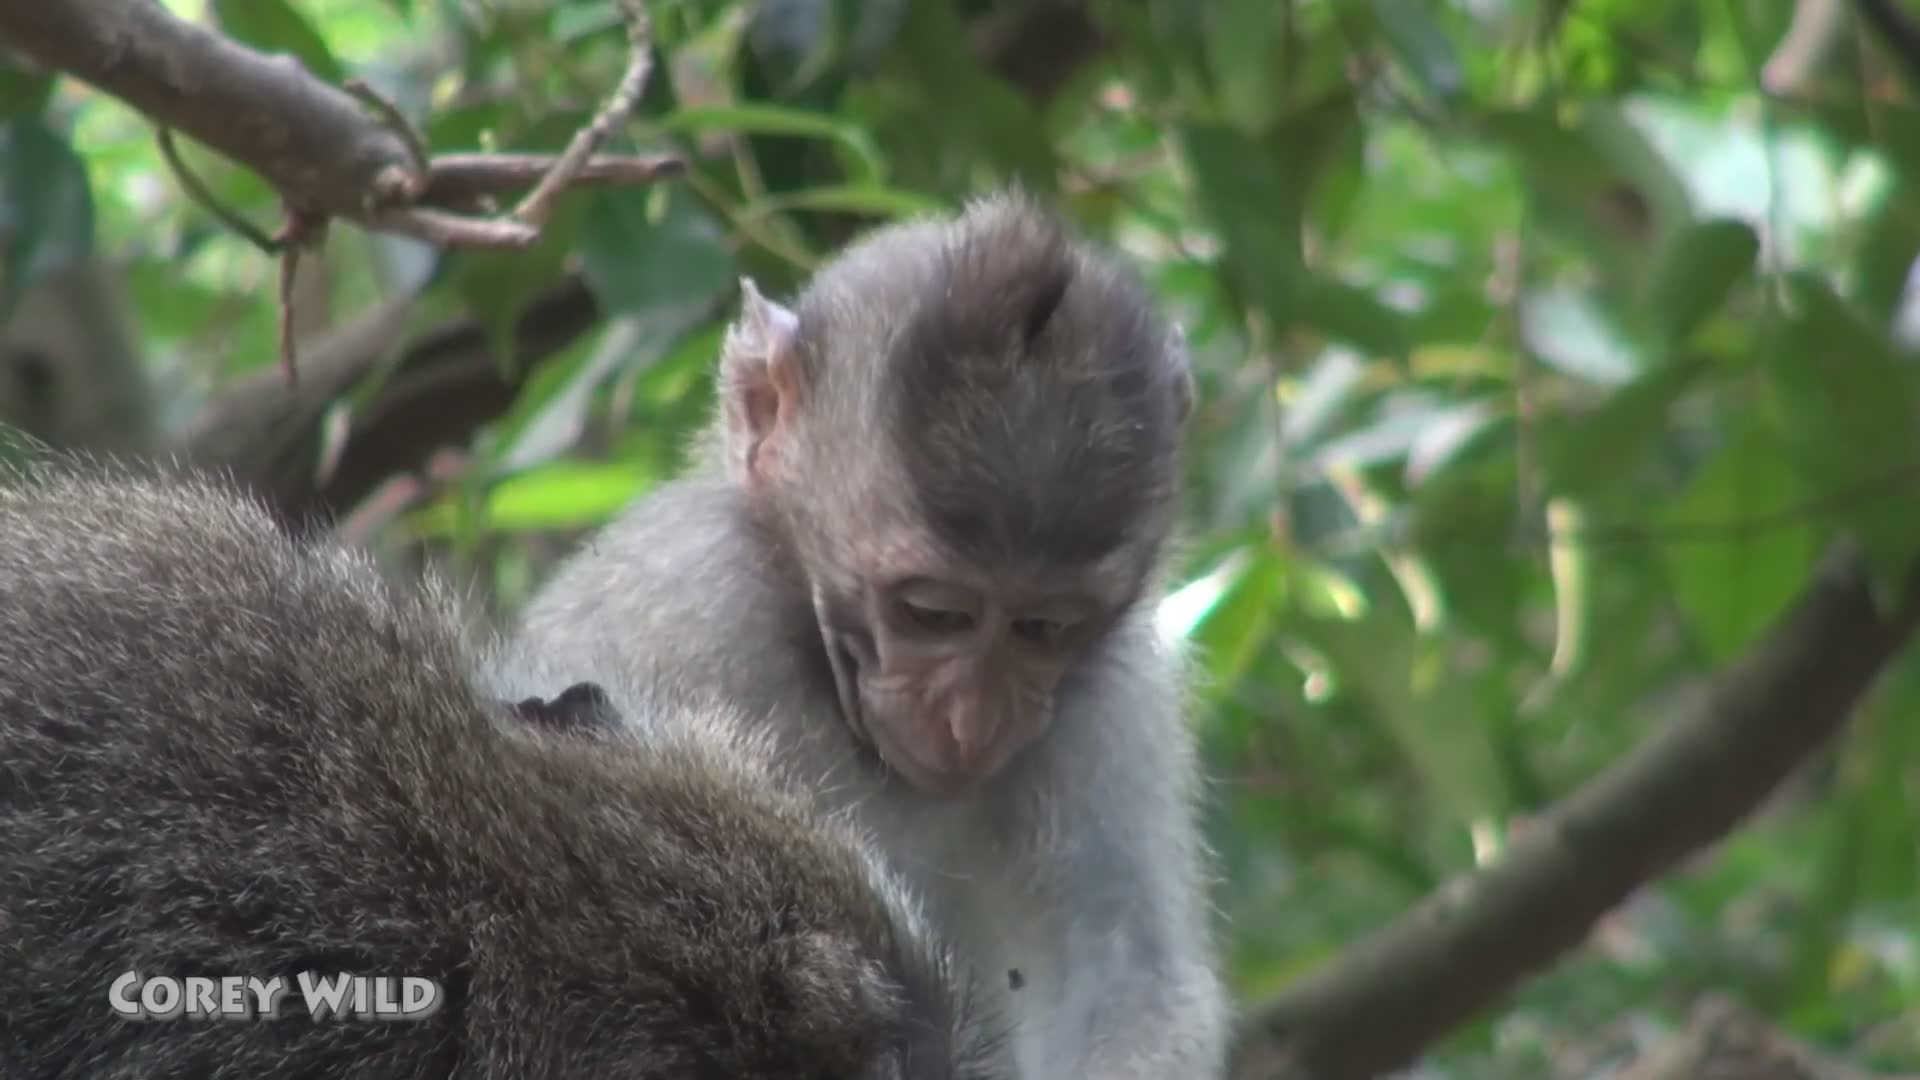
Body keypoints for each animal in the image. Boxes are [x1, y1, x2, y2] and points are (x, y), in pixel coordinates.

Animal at [508, 191, 1230, 1077]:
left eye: (1044, 628)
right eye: (933, 614)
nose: (972, 720)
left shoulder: (1109, 687)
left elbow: (1130, 975)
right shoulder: (686, 605)